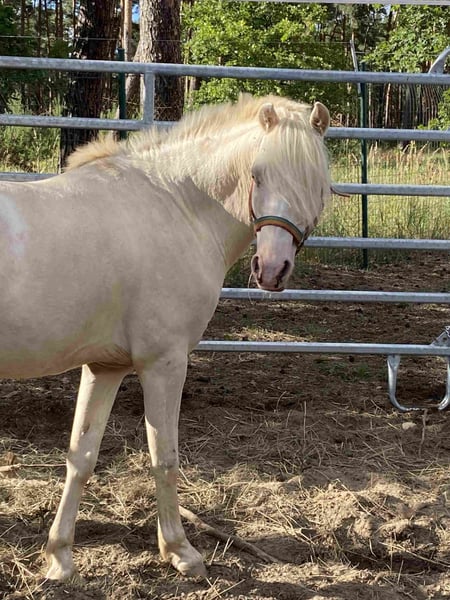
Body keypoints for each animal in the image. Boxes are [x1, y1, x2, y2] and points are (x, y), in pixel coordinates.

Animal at [0, 93, 331, 581]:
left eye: (314, 181)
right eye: (257, 174)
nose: (271, 269)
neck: (176, 206)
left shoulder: (105, 367)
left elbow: (81, 456)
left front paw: (59, 556)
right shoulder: (164, 364)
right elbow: (165, 457)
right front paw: (180, 550)